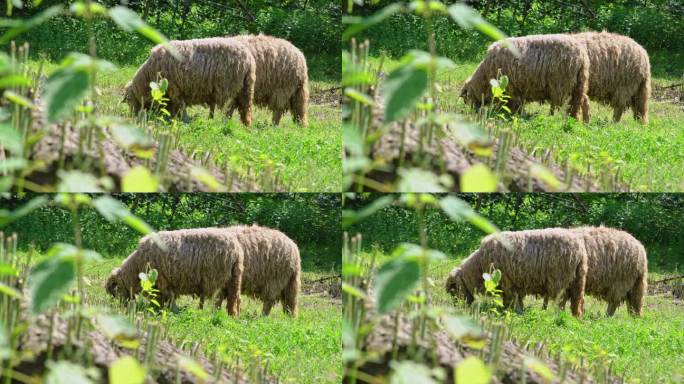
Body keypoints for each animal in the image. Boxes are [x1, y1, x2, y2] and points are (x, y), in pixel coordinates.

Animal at [105, 228, 244, 316]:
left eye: (116, 289)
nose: (122, 306)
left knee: (225, 298)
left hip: (222, 278)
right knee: (234, 299)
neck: (136, 267)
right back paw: (230, 315)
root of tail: (236, 248)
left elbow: (167, 298)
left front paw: (171, 311)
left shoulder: (162, 281)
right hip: (234, 277)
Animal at [122, 37, 254, 125]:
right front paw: (174, 117)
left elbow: (181, 105)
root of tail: (249, 59)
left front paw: (183, 120)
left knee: (230, 107)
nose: (131, 118)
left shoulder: (174, 88)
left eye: (129, 100)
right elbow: (176, 106)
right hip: (241, 88)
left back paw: (223, 122)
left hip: (228, 87)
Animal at [444, 230, 588, 316]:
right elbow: (517, 298)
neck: (478, 266)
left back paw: (553, 314)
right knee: (577, 299)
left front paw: (509, 311)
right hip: (577, 279)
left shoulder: (506, 280)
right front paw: (519, 310)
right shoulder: (516, 282)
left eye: (453, 289)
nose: (457, 308)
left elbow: (510, 298)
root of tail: (580, 250)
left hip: (559, 279)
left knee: (561, 299)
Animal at [462, 35, 592, 121]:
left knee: (564, 104)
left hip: (562, 85)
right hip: (579, 83)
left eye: (468, 96)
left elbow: (511, 104)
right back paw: (579, 121)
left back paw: (557, 118)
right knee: (581, 102)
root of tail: (582, 56)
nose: (473, 112)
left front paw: (510, 114)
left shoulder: (510, 88)